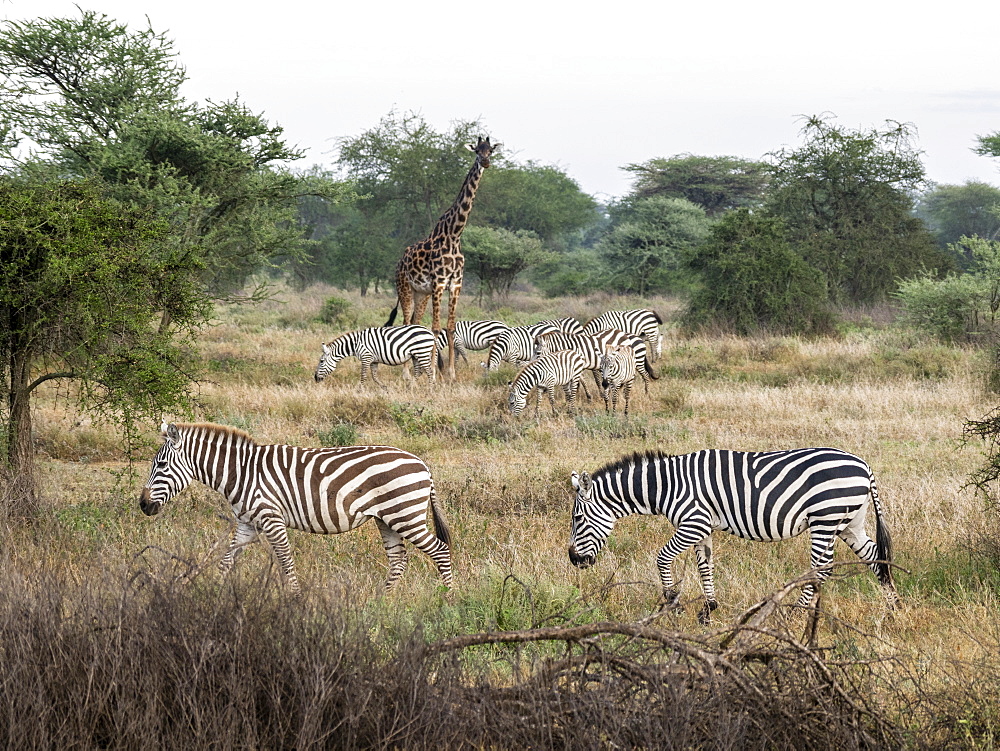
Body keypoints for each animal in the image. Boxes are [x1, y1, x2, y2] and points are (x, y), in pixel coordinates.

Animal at [140, 424, 454, 592]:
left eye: (161, 465)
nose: (143, 505)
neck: (240, 473)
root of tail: (422, 463)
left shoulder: (271, 519)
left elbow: (286, 562)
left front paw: (295, 600)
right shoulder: (247, 524)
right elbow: (226, 562)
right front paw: (211, 595)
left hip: (405, 515)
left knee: (440, 550)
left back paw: (448, 600)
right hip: (386, 518)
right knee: (398, 560)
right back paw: (381, 601)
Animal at [382, 136, 492, 382]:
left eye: (490, 150)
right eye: (476, 151)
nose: (485, 162)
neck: (455, 234)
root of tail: (399, 262)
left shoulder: (455, 284)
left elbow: (450, 327)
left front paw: (450, 374)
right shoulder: (439, 283)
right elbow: (435, 328)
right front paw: (433, 373)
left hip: (421, 293)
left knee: (414, 323)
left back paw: (416, 370)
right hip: (404, 287)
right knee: (405, 323)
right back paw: (407, 374)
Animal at [568, 450, 904, 620]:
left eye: (577, 518)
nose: (573, 560)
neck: (667, 486)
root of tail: (864, 465)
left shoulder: (692, 522)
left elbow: (662, 558)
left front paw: (672, 602)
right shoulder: (702, 526)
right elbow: (705, 566)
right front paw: (708, 609)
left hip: (826, 518)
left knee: (821, 568)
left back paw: (796, 613)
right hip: (849, 522)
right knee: (876, 557)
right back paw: (894, 607)